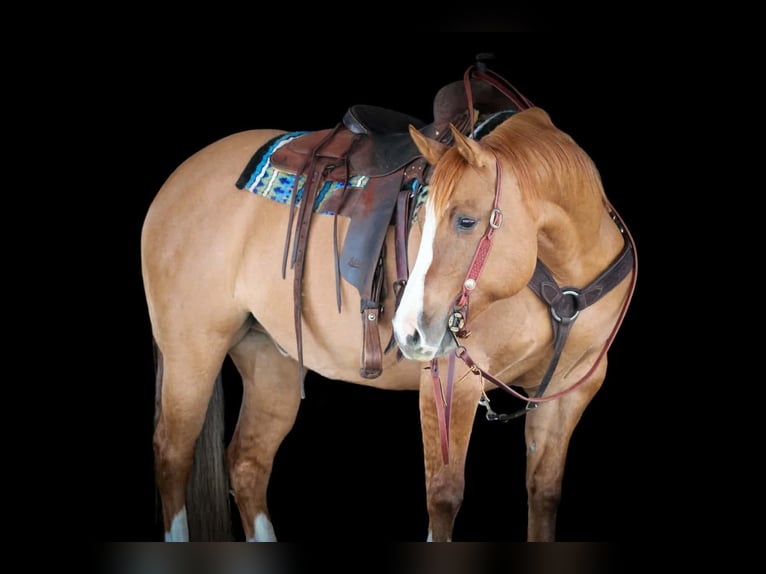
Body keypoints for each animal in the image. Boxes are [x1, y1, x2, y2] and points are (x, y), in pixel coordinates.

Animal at [140, 63, 637, 542]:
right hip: (191, 353)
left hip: (269, 358)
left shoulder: (570, 389)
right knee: (172, 456)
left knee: (247, 463)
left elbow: (545, 493)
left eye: (466, 221)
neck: (565, 274)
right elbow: (443, 498)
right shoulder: (453, 381)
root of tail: (177, 181)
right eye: (421, 215)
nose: (408, 331)